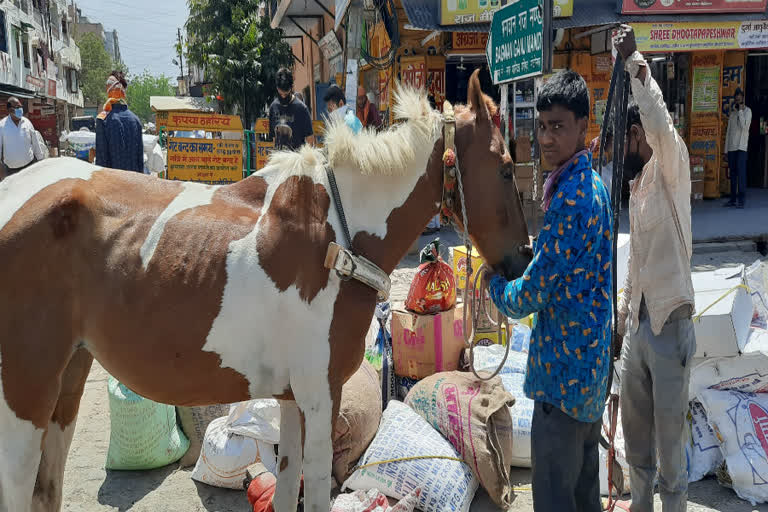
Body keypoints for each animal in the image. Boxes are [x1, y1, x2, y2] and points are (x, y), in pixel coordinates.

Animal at [0, 72, 528, 512]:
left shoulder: (292, 398)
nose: (524, 257)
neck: (337, 236)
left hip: (67, 380)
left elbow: (288, 486)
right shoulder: (319, 395)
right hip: (24, 395)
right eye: (505, 168)